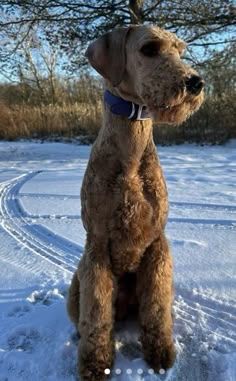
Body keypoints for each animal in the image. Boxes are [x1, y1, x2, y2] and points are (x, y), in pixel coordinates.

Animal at [67, 24, 204, 380]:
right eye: (149, 49)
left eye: (180, 50)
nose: (195, 82)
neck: (131, 157)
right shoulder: (97, 247)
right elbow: (97, 313)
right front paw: (96, 364)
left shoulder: (157, 244)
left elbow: (156, 308)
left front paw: (159, 352)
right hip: (76, 283)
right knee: (85, 318)